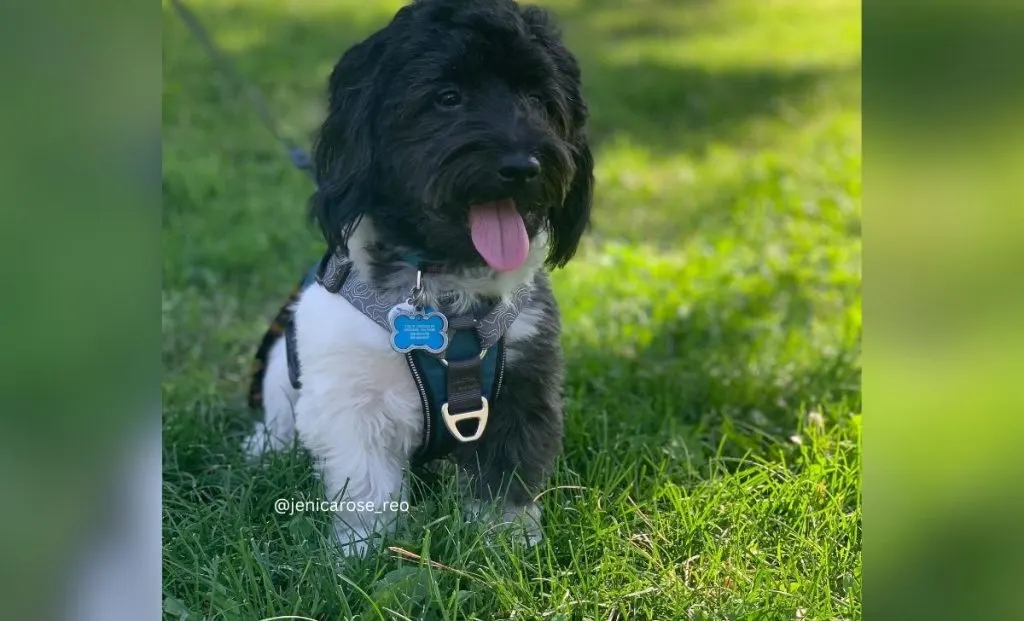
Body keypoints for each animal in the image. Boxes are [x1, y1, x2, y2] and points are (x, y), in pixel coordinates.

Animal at [243, 0, 593, 557]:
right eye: (447, 98)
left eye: (539, 100)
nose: (523, 165)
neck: (447, 292)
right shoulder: (350, 400)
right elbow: (366, 487)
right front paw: (364, 553)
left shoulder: (523, 380)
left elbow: (506, 474)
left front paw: (507, 544)